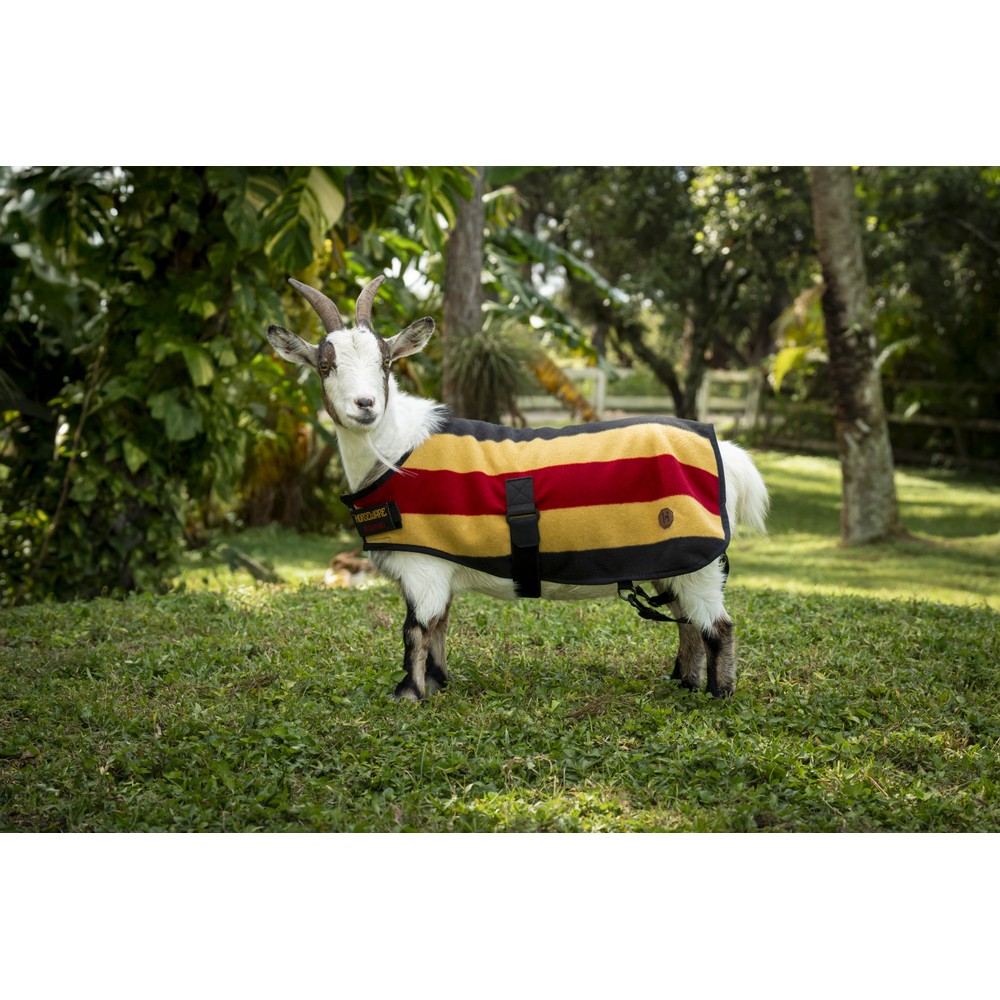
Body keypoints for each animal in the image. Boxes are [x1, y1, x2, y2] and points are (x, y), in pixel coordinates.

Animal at [266, 277, 769, 700]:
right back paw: (684, 680)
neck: (394, 450)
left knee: (717, 626)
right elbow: (440, 625)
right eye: (325, 366)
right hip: (674, 560)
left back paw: (718, 693)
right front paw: (439, 682)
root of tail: (726, 452)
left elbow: (415, 629)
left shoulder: (422, 567)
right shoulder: (441, 563)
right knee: (688, 622)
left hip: (698, 562)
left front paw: (409, 693)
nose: (366, 404)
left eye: (386, 363)